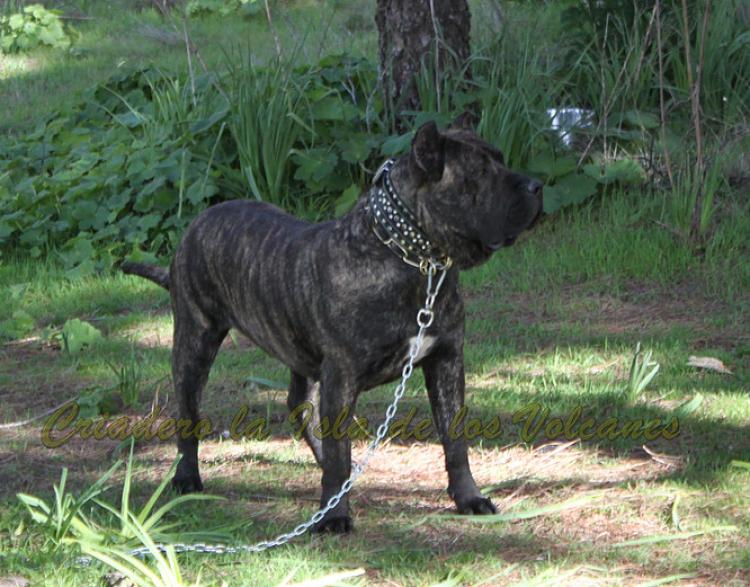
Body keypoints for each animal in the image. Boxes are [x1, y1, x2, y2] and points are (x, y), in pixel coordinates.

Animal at [123, 115, 548, 532]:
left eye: (501, 159)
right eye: (479, 172)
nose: (536, 185)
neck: (416, 261)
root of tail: (198, 223)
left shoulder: (446, 361)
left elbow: (455, 440)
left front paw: (469, 498)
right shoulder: (343, 375)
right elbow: (341, 449)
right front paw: (334, 516)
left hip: (300, 354)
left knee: (299, 406)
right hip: (196, 343)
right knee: (188, 415)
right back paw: (186, 478)